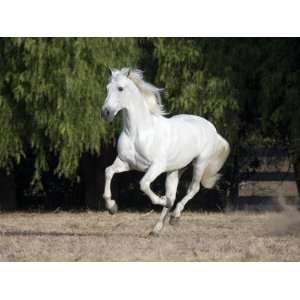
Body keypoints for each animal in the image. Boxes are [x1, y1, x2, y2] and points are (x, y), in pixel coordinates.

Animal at [101, 69, 230, 236]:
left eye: (120, 88)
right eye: (107, 88)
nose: (105, 113)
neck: (139, 133)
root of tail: (211, 128)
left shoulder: (157, 167)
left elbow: (143, 184)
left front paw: (161, 200)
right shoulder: (126, 163)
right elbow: (108, 171)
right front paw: (112, 207)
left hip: (200, 163)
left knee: (193, 189)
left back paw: (175, 216)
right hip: (176, 170)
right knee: (172, 195)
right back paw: (156, 229)